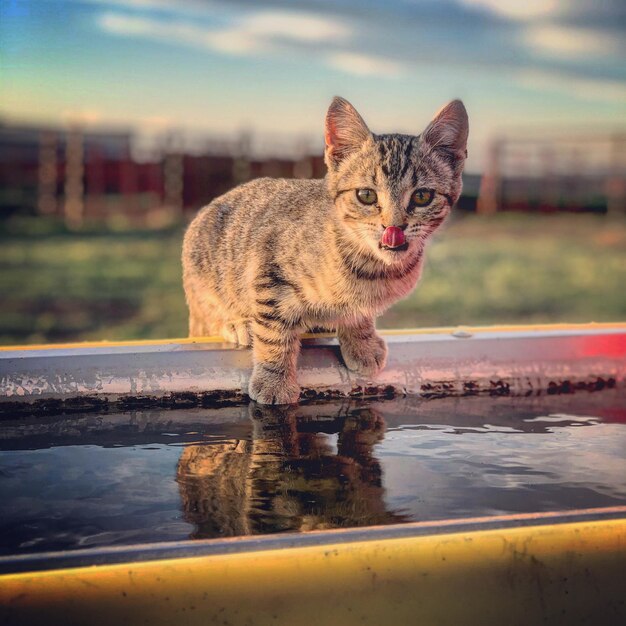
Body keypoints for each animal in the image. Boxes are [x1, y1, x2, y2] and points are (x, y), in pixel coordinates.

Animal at [183, 95, 466, 402]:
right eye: (366, 195)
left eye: (422, 196)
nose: (394, 227)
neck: (370, 267)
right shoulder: (268, 267)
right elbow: (273, 330)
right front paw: (274, 379)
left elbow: (358, 313)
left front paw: (361, 342)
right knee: (207, 316)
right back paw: (236, 324)